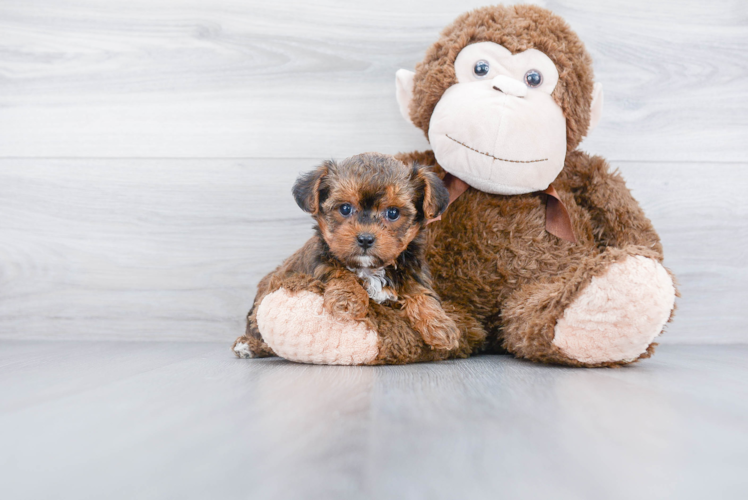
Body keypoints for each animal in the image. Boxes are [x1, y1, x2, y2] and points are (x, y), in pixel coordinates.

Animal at [237, 152, 462, 356]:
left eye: (393, 213)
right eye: (345, 208)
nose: (365, 239)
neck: (371, 269)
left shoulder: (413, 272)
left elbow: (421, 294)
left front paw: (439, 325)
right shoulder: (320, 261)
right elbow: (340, 272)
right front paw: (347, 299)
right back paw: (247, 345)